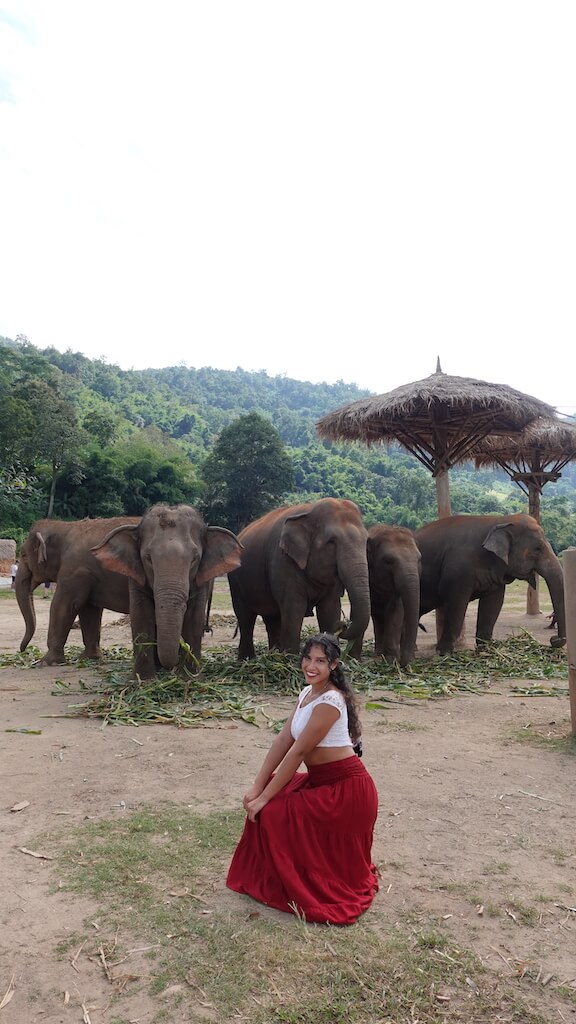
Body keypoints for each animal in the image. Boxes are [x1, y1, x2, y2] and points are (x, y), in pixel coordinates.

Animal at [17, 516, 139, 667]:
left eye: (23, 555)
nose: (22, 650)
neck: (63, 527)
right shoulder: (88, 577)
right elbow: (89, 611)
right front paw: (90, 658)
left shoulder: (74, 572)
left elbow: (62, 606)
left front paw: (45, 662)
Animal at [91, 501, 241, 675]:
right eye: (148, 558)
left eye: (194, 559)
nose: (172, 666)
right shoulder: (136, 577)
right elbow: (141, 614)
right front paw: (143, 678)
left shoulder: (201, 581)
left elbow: (194, 617)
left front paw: (189, 676)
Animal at [226, 497, 368, 659]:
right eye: (331, 541)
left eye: (366, 541)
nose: (343, 624)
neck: (310, 511)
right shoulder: (282, 562)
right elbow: (294, 608)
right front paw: (292, 660)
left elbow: (329, 609)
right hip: (235, 582)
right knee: (246, 618)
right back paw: (248, 659)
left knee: (272, 618)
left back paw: (274, 655)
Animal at [364, 524, 420, 667]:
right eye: (388, 561)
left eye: (419, 559)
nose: (406, 663)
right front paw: (389, 659)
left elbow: (395, 611)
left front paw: (390, 659)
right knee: (377, 618)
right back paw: (378, 653)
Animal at [412, 512, 565, 655]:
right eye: (538, 549)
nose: (553, 639)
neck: (500, 520)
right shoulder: (457, 571)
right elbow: (456, 603)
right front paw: (444, 653)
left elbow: (493, 604)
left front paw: (486, 649)